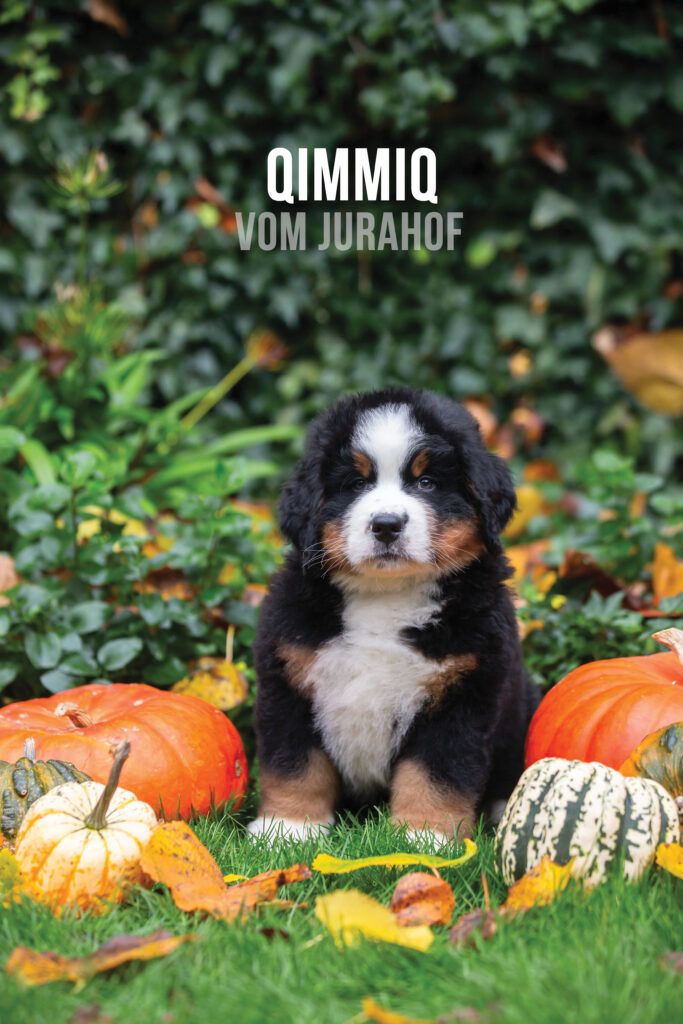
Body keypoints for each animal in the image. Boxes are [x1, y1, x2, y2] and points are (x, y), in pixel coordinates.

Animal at [248, 388, 539, 842]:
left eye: (427, 482)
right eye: (356, 484)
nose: (386, 524)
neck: (385, 595)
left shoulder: (463, 693)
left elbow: (435, 773)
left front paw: (425, 836)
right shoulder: (288, 679)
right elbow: (295, 764)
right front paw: (288, 828)